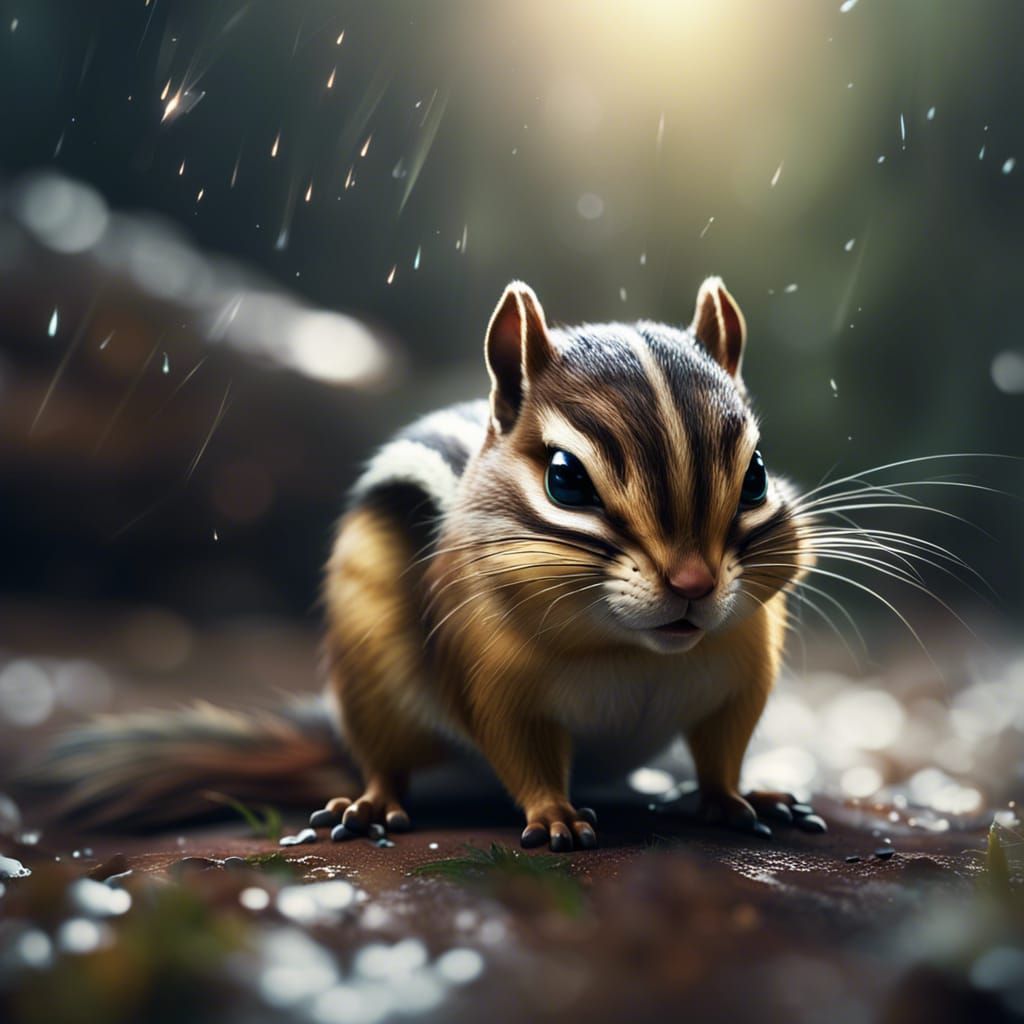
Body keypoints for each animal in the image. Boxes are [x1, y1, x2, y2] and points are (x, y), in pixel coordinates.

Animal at [23, 277, 818, 850]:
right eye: (565, 479)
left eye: (756, 476)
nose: (693, 583)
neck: (631, 653)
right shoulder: (491, 677)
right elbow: (521, 750)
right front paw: (555, 815)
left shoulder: (741, 674)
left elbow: (722, 750)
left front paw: (739, 798)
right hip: (371, 680)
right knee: (386, 760)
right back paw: (370, 805)